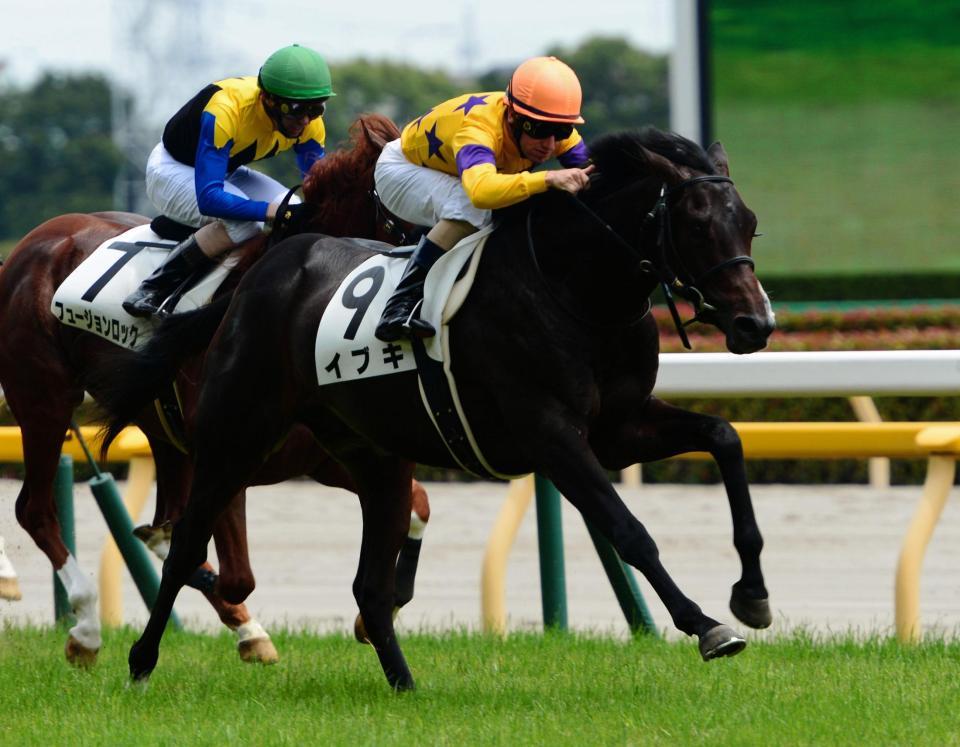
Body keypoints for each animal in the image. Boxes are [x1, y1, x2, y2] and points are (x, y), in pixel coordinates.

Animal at [0, 113, 430, 667]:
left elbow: (417, 504)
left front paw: (374, 612)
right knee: (34, 510)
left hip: (162, 434)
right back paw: (87, 628)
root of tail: (32, 244)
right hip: (43, 402)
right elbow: (234, 575)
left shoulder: (328, 458)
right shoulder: (229, 457)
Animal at [99, 127, 776, 690]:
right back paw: (141, 663)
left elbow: (724, 437)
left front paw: (752, 594)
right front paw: (706, 625)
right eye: (696, 224)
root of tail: (259, 275)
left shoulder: (618, 427)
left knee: (370, 587)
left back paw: (405, 686)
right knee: (185, 546)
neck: (571, 289)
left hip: (373, 459)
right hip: (236, 435)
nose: (755, 324)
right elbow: (629, 530)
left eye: (749, 223)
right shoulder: (551, 435)